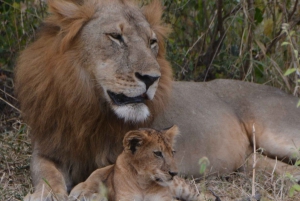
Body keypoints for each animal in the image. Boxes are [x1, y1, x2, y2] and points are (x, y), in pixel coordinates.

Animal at [15, 0, 300, 200]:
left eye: (152, 42)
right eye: (116, 37)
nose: (152, 78)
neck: (89, 105)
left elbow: (103, 170)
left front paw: (86, 190)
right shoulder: (48, 148)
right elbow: (46, 173)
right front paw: (47, 194)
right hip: (251, 162)